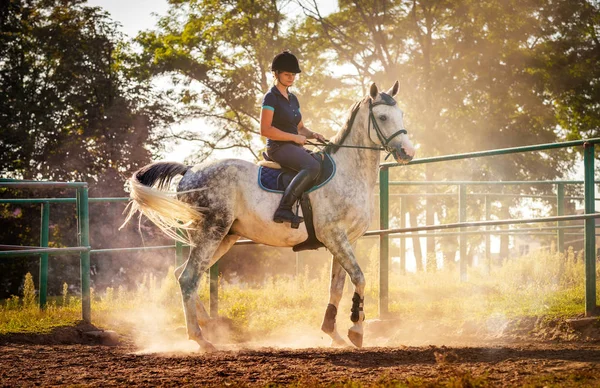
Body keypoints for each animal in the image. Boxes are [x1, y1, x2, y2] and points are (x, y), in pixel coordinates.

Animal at [124, 82, 414, 352]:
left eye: (401, 113)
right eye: (383, 117)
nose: (408, 153)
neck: (347, 172)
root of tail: (190, 170)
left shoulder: (346, 240)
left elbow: (338, 286)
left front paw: (334, 334)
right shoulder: (334, 236)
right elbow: (359, 278)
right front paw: (356, 331)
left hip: (224, 237)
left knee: (185, 274)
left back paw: (207, 325)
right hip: (211, 233)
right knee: (188, 278)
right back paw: (201, 339)